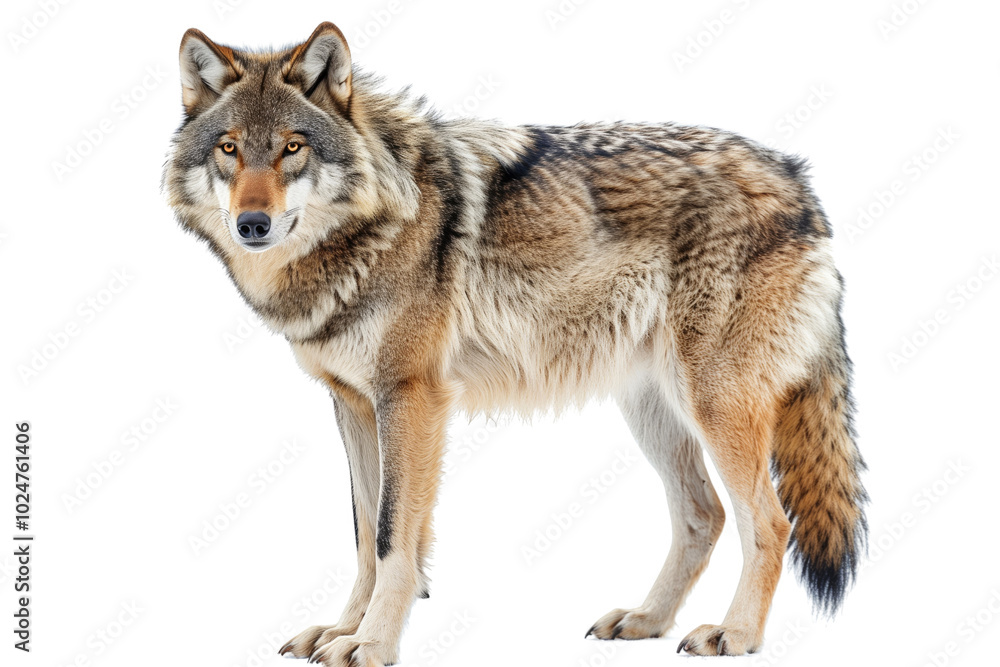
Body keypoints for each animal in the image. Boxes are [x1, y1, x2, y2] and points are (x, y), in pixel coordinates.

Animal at [163, 22, 868, 664]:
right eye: (229, 148)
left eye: (292, 147)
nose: (252, 224)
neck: (374, 221)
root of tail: (799, 181)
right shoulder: (354, 403)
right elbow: (366, 534)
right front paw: (342, 630)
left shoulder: (412, 398)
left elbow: (393, 538)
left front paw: (372, 644)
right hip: (653, 410)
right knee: (705, 515)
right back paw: (645, 620)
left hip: (714, 404)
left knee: (770, 523)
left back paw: (736, 634)